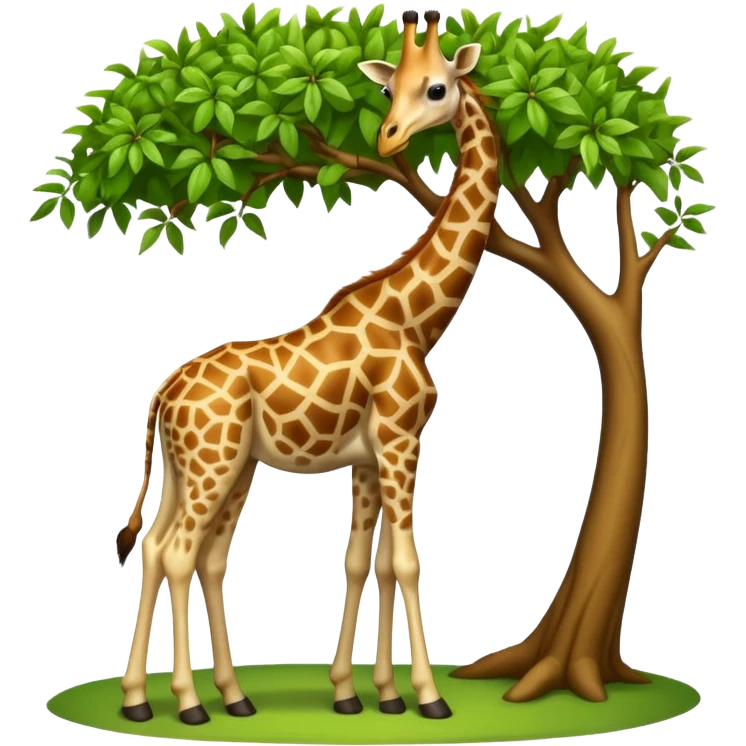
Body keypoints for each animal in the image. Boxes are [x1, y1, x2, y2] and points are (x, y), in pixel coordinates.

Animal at [116, 8, 499, 725]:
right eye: (389, 89)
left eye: (435, 88)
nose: (389, 135)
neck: (416, 320)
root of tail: (166, 389)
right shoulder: (401, 439)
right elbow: (408, 561)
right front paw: (429, 698)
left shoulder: (371, 457)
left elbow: (367, 562)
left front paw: (366, 694)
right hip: (213, 463)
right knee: (180, 553)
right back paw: (188, 703)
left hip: (206, 467)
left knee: (171, 550)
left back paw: (174, 699)